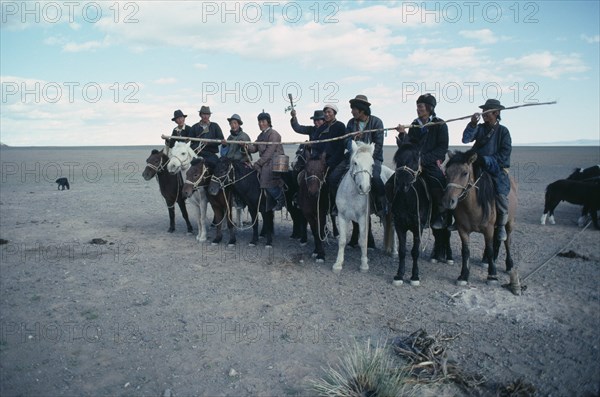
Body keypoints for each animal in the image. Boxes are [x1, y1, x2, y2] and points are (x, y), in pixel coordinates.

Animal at [330, 140, 396, 272]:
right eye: (355, 163)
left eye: (372, 164)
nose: (364, 188)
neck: (351, 194)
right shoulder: (342, 216)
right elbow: (342, 241)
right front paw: (338, 263)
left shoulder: (363, 218)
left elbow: (363, 240)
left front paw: (364, 264)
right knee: (387, 226)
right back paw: (386, 249)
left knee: (393, 228)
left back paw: (394, 252)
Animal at [386, 142, 448, 284]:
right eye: (398, 159)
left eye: (415, 160)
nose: (403, 184)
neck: (408, 201)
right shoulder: (400, 226)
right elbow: (402, 251)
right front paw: (399, 275)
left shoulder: (417, 227)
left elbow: (415, 252)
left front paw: (415, 276)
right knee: (438, 235)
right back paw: (436, 256)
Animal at [442, 149, 516, 284]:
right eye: (446, 172)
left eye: (465, 173)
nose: (447, 201)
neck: (472, 207)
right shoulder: (462, 230)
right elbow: (466, 251)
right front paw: (464, 275)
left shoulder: (489, 229)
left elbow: (490, 249)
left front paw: (492, 275)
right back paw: (487, 261)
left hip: (510, 222)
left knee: (507, 241)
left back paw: (509, 265)